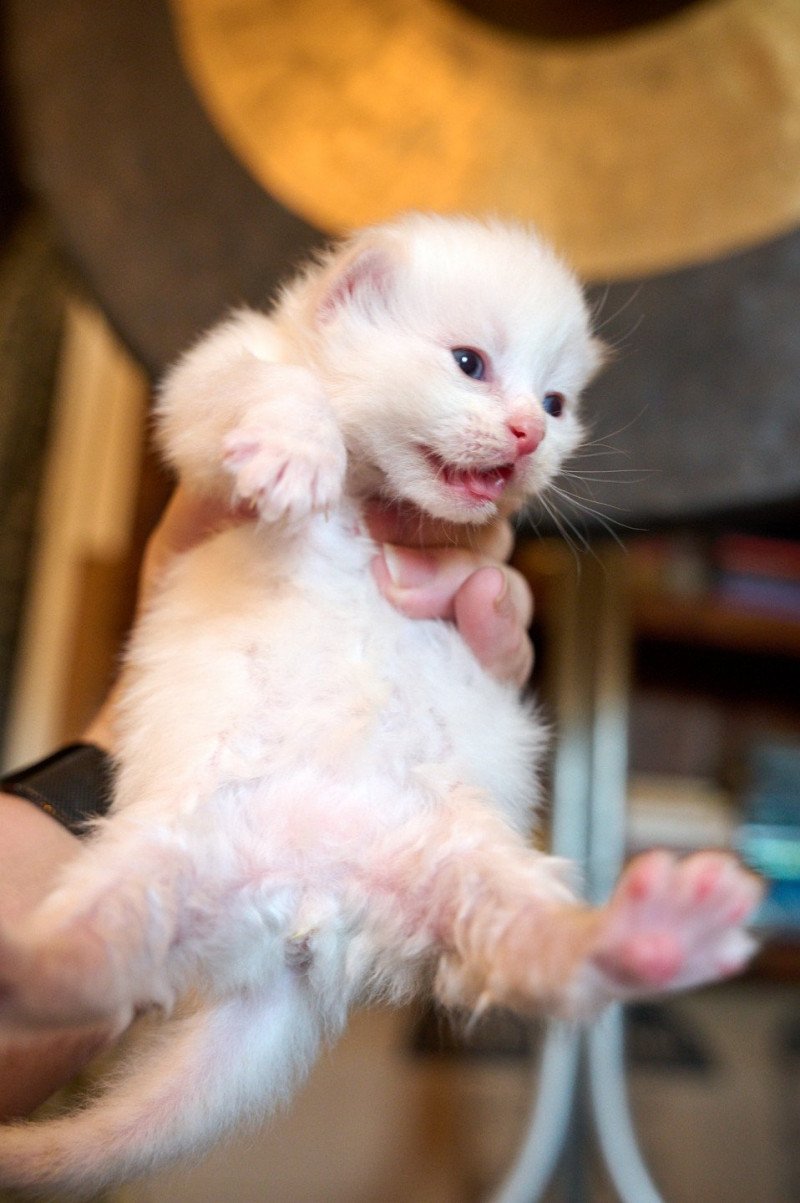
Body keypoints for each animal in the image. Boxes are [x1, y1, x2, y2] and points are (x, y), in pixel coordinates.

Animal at [0, 214, 760, 1193]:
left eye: (557, 403)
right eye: (470, 362)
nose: (526, 436)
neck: (371, 493)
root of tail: (305, 920)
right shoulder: (208, 385)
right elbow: (267, 384)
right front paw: (295, 448)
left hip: (463, 871)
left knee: (546, 960)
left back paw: (650, 934)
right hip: (162, 856)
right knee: (87, 957)